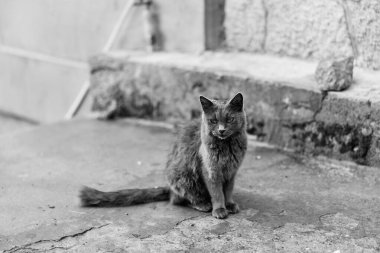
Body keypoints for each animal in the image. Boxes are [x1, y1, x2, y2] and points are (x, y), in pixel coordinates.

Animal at [79, 93, 246, 219]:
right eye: (213, 121)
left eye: (229, 119)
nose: (221, 130)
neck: (226, 146)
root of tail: (169, 189)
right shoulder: (210, 171)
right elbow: (217, 193)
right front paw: (219, 209)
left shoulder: (231, 172)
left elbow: (227, 191)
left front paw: (229, 204)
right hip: (184, 175)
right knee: (181, 199)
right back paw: (203, 204)